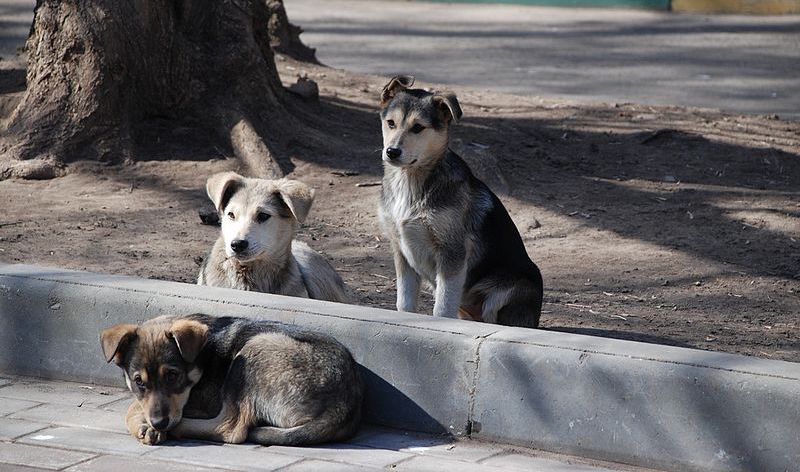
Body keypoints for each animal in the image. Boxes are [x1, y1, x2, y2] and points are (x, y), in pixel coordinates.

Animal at [101, 314, 364, 446]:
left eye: (173, 376)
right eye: (139, 382)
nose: (159, 423)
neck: (202, 357)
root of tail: (344, 406)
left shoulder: (203, 402)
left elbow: (132, 407)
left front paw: (145, 425)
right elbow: (138, 403)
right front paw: (146, 425)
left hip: (255, 349)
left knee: (231, 429)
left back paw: (177, 430)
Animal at [376, 76, 544, 328]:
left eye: (418, 128)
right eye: (391, 123)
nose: (392, 152)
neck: (411, 181)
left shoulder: (452, 253)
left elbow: (443, 307)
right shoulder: (401, 252)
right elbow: (404, 303)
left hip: (507, 289)